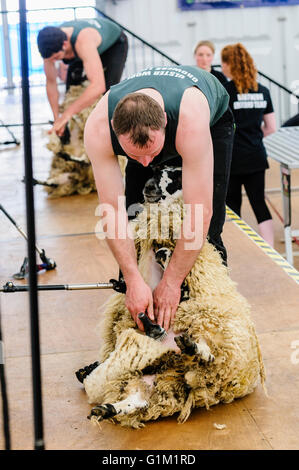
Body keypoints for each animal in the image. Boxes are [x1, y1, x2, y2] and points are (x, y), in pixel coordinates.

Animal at [76, 163, 266, 428]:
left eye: (177, 176)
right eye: (154, 171)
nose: (148, 187)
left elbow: (175, 281)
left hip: (212, 342)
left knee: (207, 356)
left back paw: (187, 344)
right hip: (150, 383)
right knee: (137, 401)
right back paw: (107, 408)